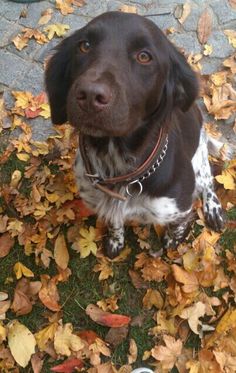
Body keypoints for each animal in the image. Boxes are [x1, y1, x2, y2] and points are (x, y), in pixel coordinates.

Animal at [44, 10, 225, 256]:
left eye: (144, 57)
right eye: (84, 46)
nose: (90, 95)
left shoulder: (180, 208)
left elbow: (178, 227)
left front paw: (171, 242)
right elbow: (115, 222)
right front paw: (115, 241)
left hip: (199, 158)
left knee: (207, 181)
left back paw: (213, 207)